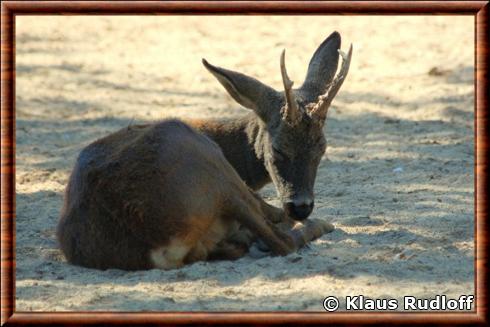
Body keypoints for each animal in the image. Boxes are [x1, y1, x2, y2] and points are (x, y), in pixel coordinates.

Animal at [57, 31, 352, 272]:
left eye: (322, 148)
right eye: (278, 148)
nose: (301, 206)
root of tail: (155, 247)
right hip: (211, 170)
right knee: (280, 241)